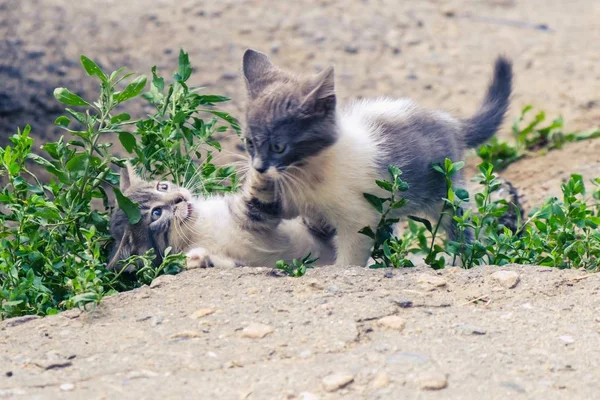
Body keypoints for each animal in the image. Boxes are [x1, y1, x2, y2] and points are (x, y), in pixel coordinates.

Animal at [239, 50, 510, 268]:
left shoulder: (358, 219)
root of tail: (451, 123)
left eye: (279, 147)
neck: (306, 173)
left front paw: (341, 268)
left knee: (462, 230)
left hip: (447, 196)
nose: (259, 168)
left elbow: (351, 255)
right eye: (249, 142)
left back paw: (465, 261)